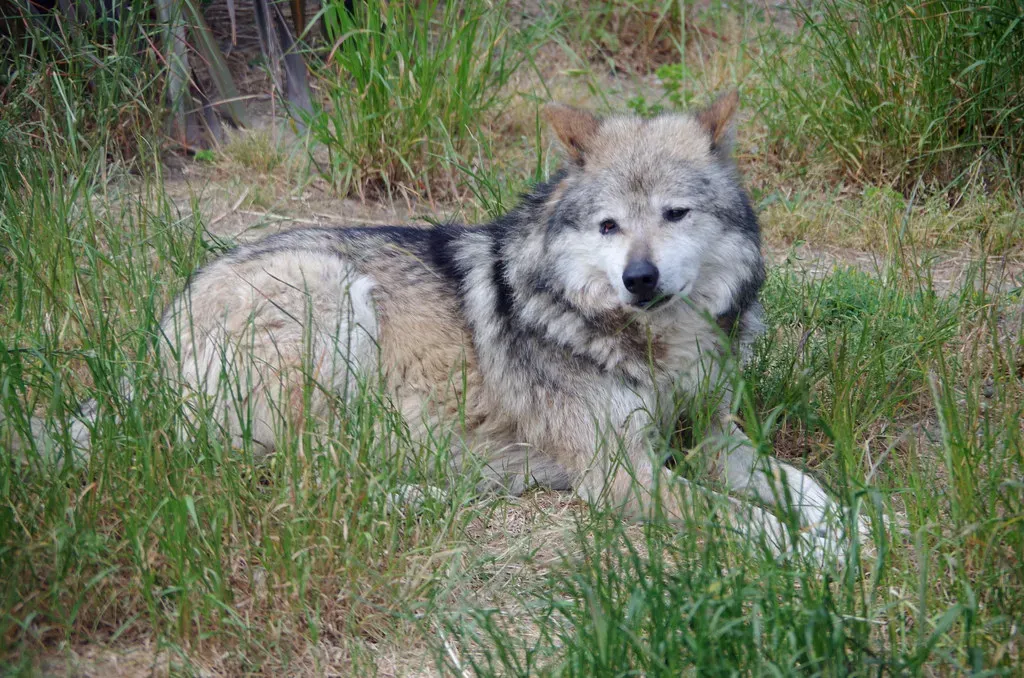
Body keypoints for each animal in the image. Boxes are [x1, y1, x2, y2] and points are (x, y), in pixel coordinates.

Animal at [11, 92, 865, 560]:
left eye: (675, 214)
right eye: (610, 226)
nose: (640, 279)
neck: (656, 349)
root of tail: (152, 345)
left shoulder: (716, 435)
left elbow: (805, 485)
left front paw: (862, 526)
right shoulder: (620, 473)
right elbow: (745, 521)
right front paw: (816, 554)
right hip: (332, 301)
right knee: (300, 477)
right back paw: (433, 494)